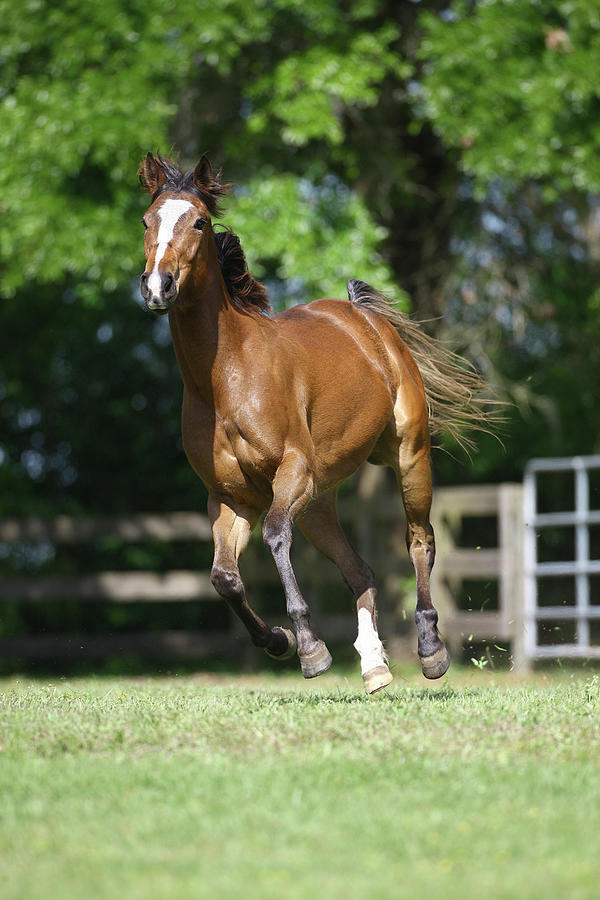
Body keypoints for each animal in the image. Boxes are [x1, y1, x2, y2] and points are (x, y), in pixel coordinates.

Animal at [138, 151, 490, 692]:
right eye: (146, 220)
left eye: (197, 221)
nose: (158, 286)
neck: (225, 379)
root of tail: (367, 319)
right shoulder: (232, 497)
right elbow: (224, 577)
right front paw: (278, 640)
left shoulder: (293, 472)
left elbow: (275, 537)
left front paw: (309, 647)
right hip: (321, 500)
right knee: (360, 570)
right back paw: (374, 667)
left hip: (408, 457)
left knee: (419, 542)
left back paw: (431, 649)